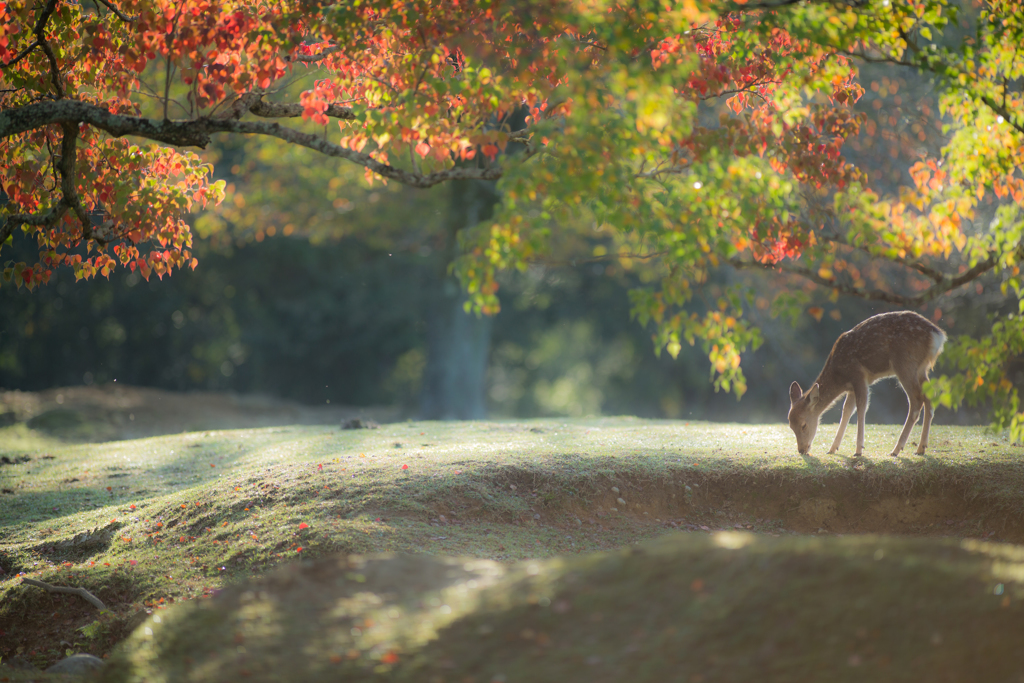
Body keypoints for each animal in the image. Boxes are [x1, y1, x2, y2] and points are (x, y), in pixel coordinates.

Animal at [786, 313, 946, 456]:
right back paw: (921, 448)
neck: (839, 376)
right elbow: (846, 410)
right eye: (790, 426)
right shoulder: (851, 387)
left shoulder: (859, 376)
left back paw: (896, 450)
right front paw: (832, 449)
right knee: (930, 398)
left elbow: (861, 408)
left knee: (916, 400)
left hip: (905, 363)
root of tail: (938, 336)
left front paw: (858, 450)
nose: (801, 450)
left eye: (803, 425)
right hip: (922, 369)